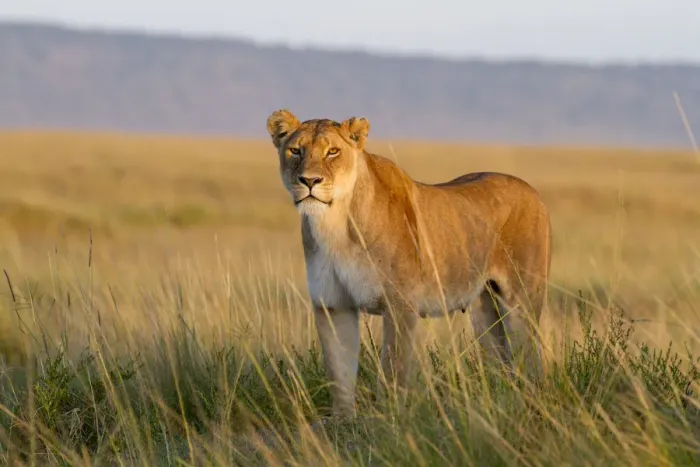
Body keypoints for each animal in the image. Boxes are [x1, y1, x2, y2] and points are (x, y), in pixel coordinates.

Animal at [266, 109, 552, 417]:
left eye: (333, 152)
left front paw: (390, 418)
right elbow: (339, 372)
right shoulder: (332, 305)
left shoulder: (400, 305)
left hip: (522, 301)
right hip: (483, 308)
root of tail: (534, 192)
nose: (309, 181)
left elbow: (393, 370)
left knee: (531, 356)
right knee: (499, 361)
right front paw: (342, 420)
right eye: (296, 150)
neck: (334, 225)